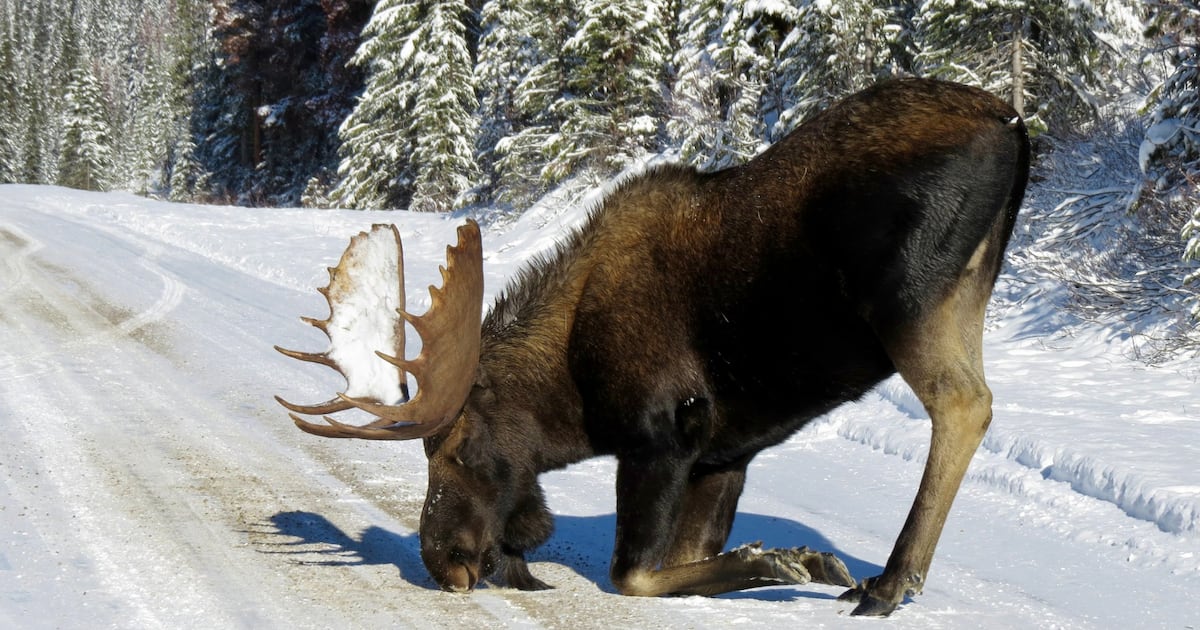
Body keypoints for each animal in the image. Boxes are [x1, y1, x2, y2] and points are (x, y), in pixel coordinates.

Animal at [275, 77, 1030, 617]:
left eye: (454, 450)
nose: (442, 562)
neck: (571, 401)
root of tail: (1014, 125)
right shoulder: (723, 455)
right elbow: (688, 564)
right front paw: (793, 561)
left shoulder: (662, 434)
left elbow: (632, 573)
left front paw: (786, 560)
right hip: (965, 292)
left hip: (910, 299)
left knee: (965, 404)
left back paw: (890, 581)